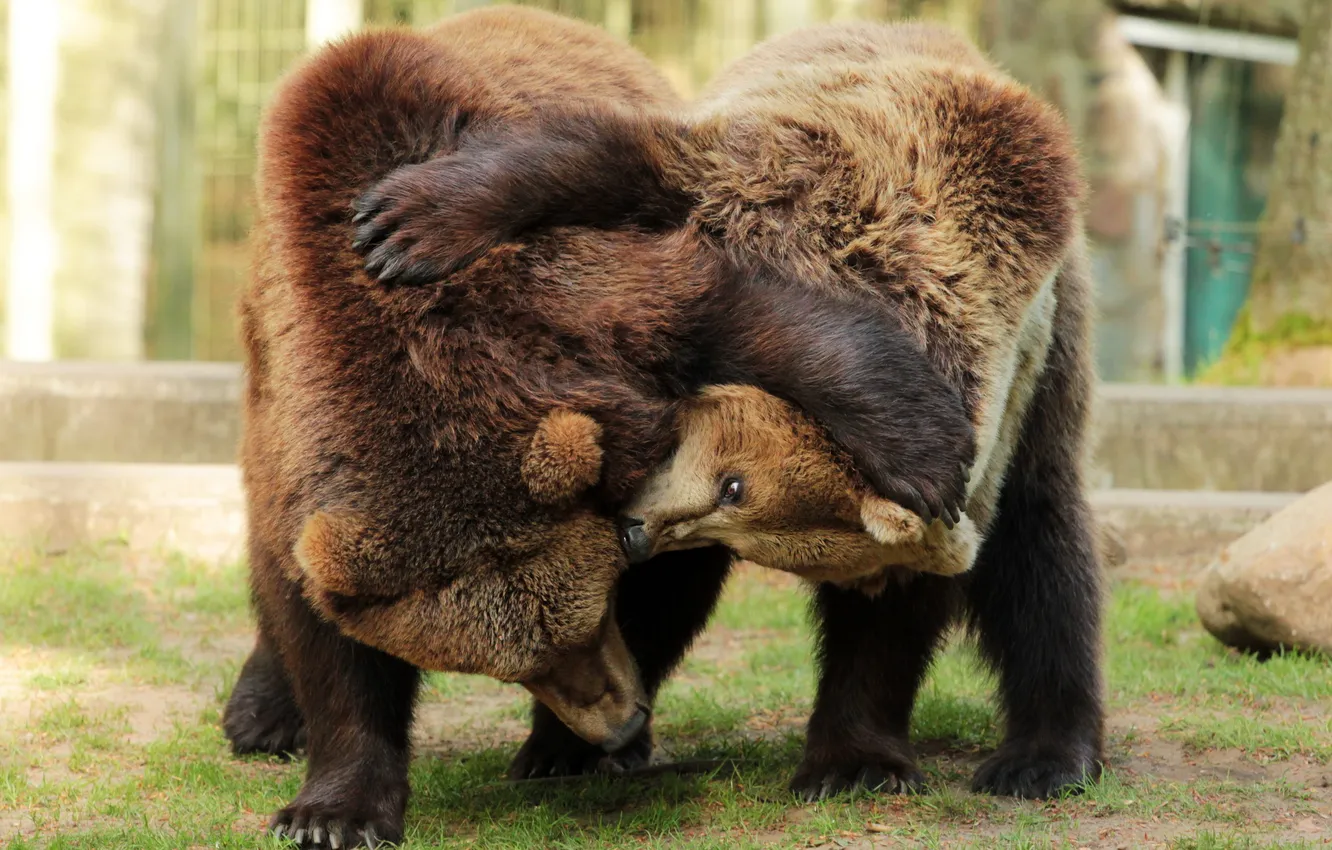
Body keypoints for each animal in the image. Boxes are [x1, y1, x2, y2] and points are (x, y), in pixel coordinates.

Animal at [224, 6, 976, 847]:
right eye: (514, 666)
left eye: (593, 616)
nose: (619, 721)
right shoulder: (295, 441)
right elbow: (321, 632)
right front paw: (332, 811)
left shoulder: (577, 308)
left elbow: (740, 320)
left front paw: (924, 452)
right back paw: (260, 714)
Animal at [351, 17, 1104, 802]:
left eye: (737, 500)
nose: (636, 534)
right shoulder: (766, 175)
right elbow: (605, 161)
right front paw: (409, 222)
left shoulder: (994, 408)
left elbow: (898, 608)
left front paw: (852, 762)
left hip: (1055, 376)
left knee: (1045, 555)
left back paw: (1045, 757)